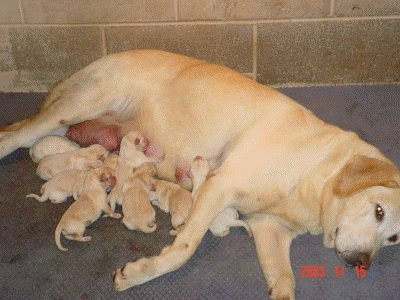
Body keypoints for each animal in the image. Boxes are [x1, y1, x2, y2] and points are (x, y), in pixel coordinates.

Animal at [0, 49, 400, 298]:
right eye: (379, 211)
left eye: (394, 239)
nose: (363, 264)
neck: (317, 171)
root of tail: (107, 56)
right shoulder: (218, 186)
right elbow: (185, 248)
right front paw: (141, 272)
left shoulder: (267, 228)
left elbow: (285, 283)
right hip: (76, 107)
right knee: (13, 136)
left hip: (68, 130)